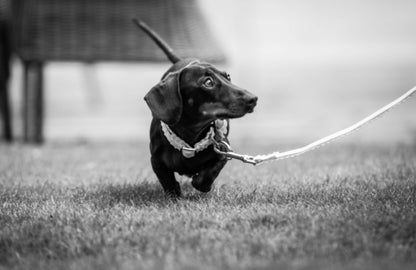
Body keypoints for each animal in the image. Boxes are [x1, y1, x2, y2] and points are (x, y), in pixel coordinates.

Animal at [134, 19, 256, 196]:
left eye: (228, 76)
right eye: (208, 82)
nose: (253, 99)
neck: (190, 139)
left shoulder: (223, 151)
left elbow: (207, 175)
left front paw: (201, 183)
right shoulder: (156, 161)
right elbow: (166, 180)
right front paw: (174, 194)